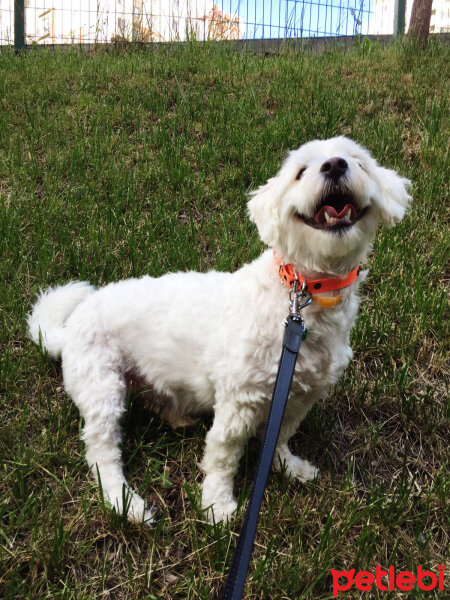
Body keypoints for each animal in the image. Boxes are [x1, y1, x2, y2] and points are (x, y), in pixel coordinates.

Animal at [26, 138, 410, 524]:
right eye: (301, 171)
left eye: (358, 162)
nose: (334, 165)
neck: (303, 296)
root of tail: (70, 326)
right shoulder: (239, 399)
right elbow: (224, 454)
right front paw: (217, 505)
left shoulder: (300, 396)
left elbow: (280, 436)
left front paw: (287, 465)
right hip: (102, 387)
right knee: (102, 454)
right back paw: (126, 503)